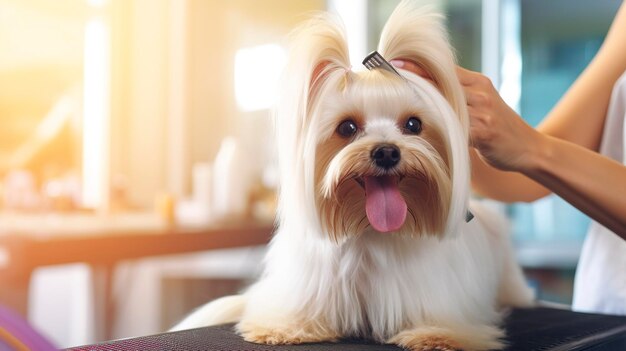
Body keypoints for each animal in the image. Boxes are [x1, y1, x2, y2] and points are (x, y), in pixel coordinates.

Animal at [172, 1, 532, 350]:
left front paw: (438, 335)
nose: (386, 152)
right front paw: (283, 329)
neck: (369, 232)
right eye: (347, 127)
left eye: (413, 124)